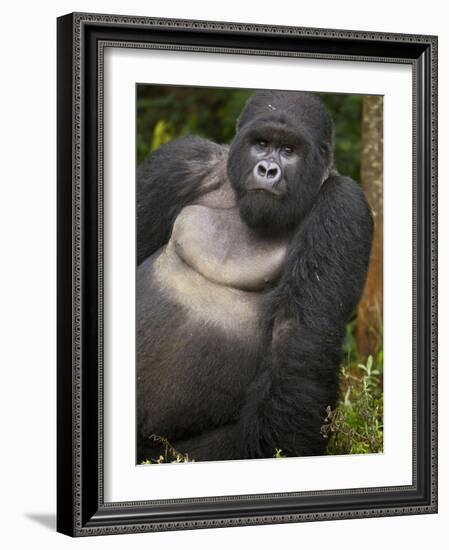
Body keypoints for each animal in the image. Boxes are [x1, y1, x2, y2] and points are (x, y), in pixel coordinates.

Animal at [136, 91, 372, 466]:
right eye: (261, 144)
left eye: (289, 150)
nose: (267, 170)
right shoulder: (181, 161)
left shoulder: (342, 205)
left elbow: (297, 348)